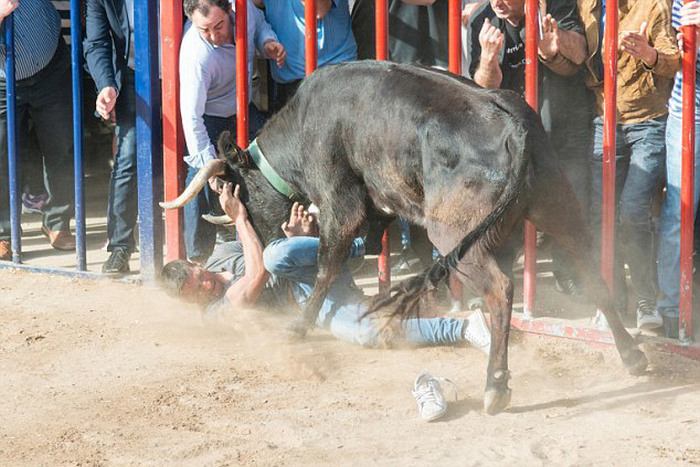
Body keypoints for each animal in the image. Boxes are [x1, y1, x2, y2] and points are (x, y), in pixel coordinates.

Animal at [161, 60, 648, 414]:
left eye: (240, 193)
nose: (261, 246)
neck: (303, 124)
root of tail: (515, 122)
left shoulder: (340, 203)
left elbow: (327, 264)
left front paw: (298, 327)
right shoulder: (379, 208)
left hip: (455, 233)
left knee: (500, 288)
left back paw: (496, 385)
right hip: (559, 208)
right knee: (590, 270)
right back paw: (631, 356)